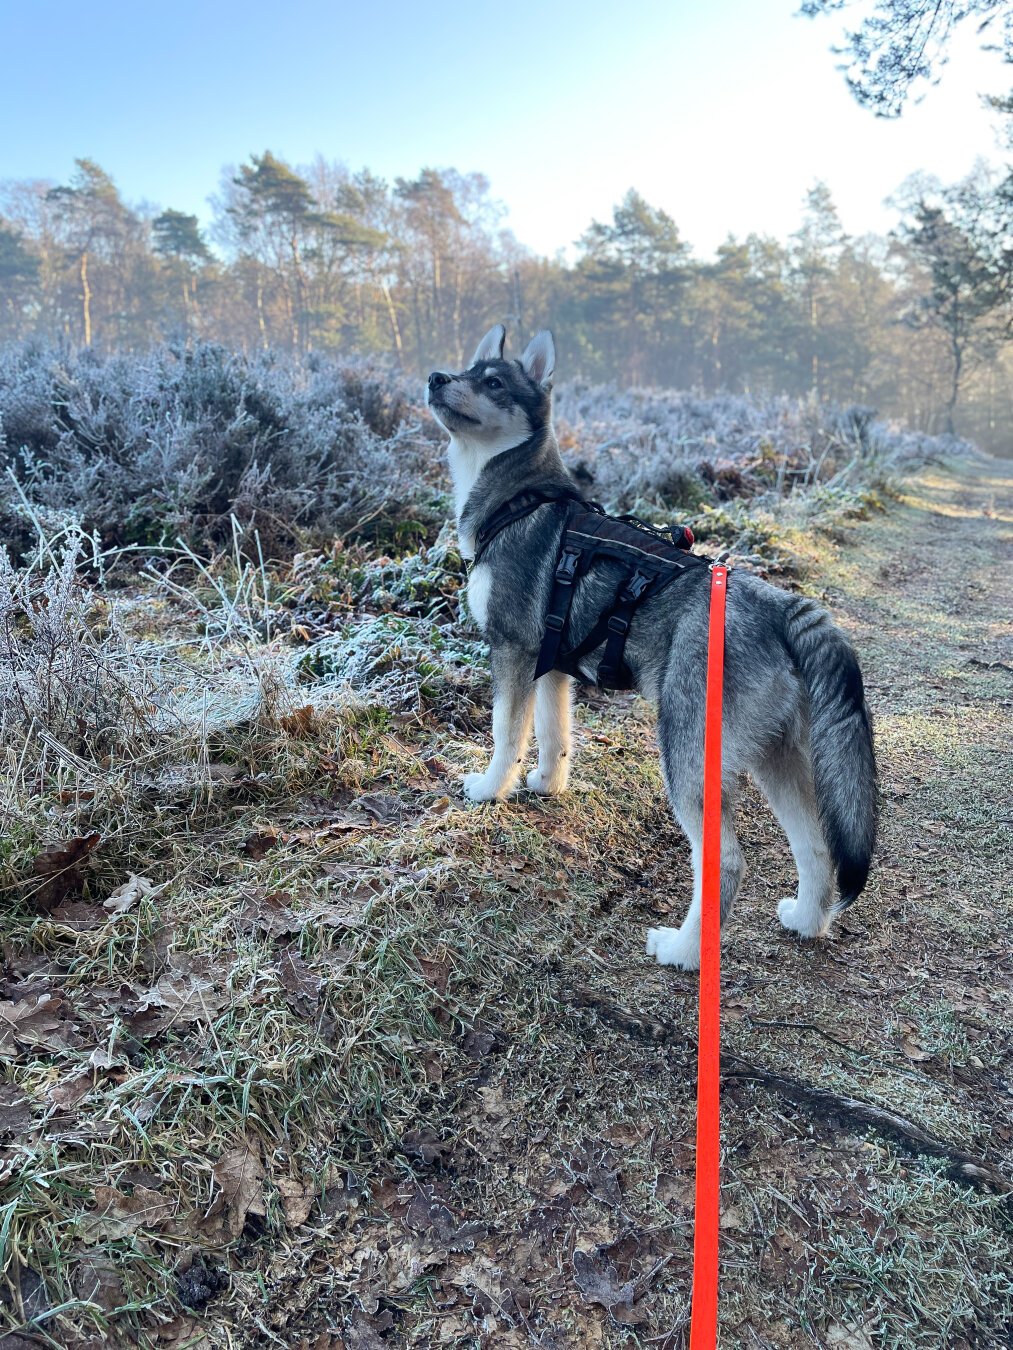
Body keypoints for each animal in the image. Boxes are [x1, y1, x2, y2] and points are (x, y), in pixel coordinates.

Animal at [424, 326, 875, 972]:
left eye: (492, 381)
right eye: (465, 368)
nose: (436, 378)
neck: (523, 499)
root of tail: (783, 606)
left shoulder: (512, 653)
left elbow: (506, 734)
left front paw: (491, 789)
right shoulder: (552, 668)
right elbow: (555, 735)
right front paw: (547, 784)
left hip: (688, 756)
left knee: (726, 861)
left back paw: (684, 951)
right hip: (777, 760)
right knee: (815, 846)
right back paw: (807, 920)